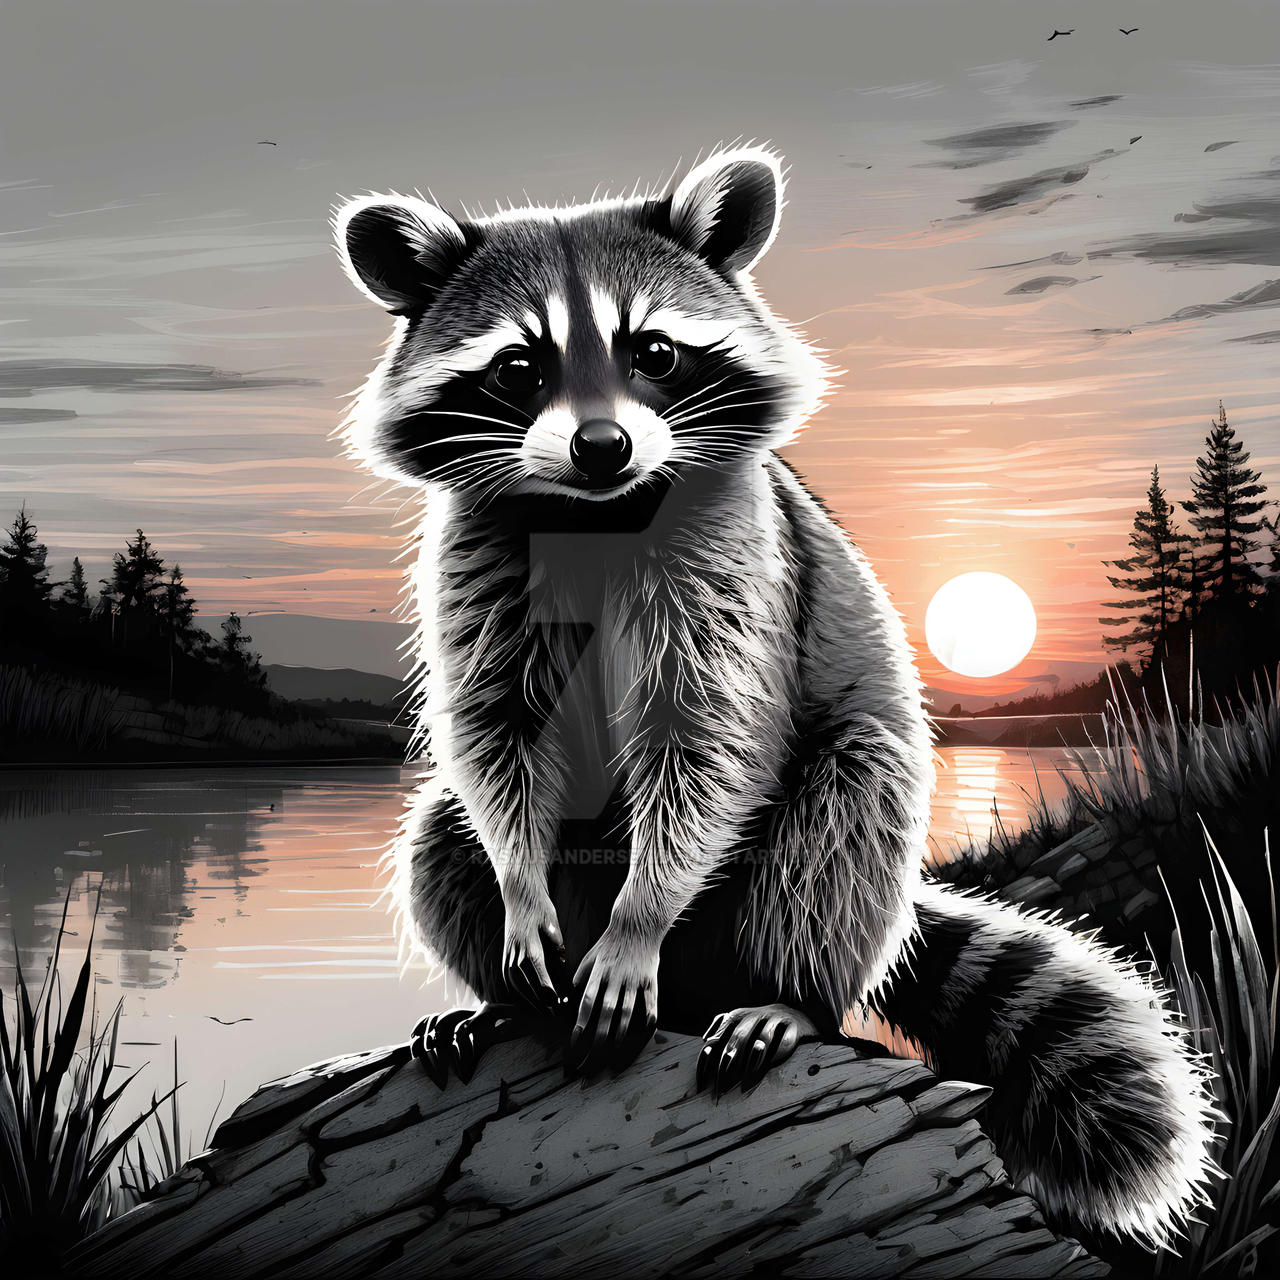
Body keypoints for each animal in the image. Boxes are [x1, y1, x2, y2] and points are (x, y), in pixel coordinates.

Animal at [332, 147, 1213, 1245]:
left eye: (654, 352)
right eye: (519, 367)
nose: (600, 447)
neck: (594, 510)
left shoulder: (734, 551)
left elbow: (710, 738)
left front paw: (640, 919)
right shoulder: (480, 553)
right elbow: (498, 731)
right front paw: (520, 893)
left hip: (814, 864)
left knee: (846, 806)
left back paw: (786, 995)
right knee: (441, 828)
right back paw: (494, 995)